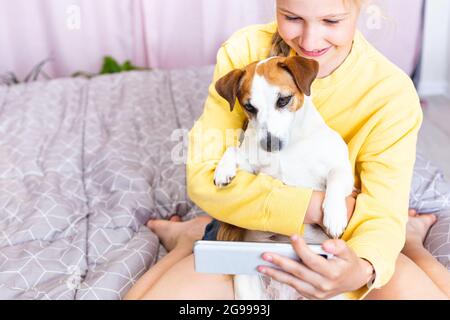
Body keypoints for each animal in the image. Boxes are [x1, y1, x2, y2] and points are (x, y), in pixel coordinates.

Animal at [213, 55, 354, 300]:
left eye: (283, 100)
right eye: (249, 107)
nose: (271, 143)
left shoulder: (342, 170)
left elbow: (336, 178)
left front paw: (334, 215)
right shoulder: (253, 167)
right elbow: (233, 150)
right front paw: (223, 169)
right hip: (246, 286)